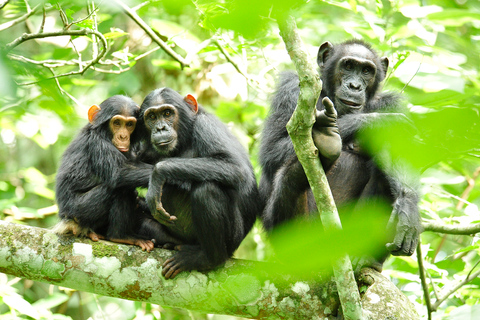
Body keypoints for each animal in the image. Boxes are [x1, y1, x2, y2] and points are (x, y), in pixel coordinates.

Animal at [54, 95, 182, 250]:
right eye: (116, 123)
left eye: (129, 124)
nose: (123, 136)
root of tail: (66, 220)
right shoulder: (97, 144)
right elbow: (119, 172)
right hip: (78, 211)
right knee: (121, 187)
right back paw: (121, 236)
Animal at [137, 88, 260, 280]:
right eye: (152, 117)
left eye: (167, 113)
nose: (160, 128)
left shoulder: (207, 127)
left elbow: (236, 167)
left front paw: (158, 173)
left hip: (232, 239)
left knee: (207, 190)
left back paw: (207, 258)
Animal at [258, 38, 420, 266]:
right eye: (348, 66)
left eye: (367, 71)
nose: (354, 86)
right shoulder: (290, 89)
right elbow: (271, 150)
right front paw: (379, 122)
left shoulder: (391, 103)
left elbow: (400, 152)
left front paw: (408, 207)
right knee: (290, 180)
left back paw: (363, 257)